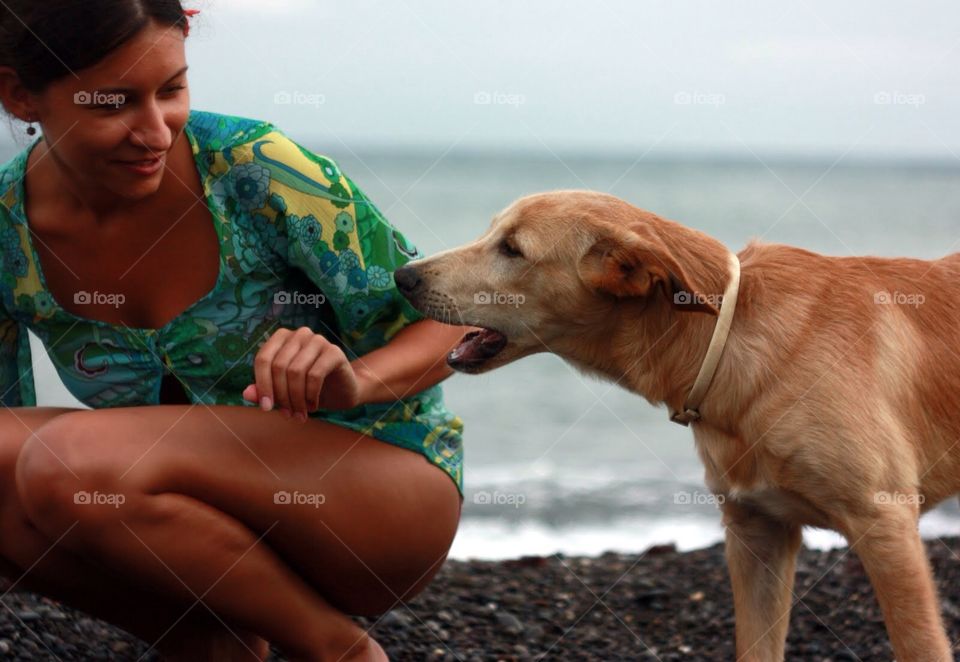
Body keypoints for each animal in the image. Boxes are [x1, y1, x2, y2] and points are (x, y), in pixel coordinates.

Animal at [394, 189, 960, 660]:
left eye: (512, 249)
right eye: (492, 233)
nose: (404, 276)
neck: (729, 336)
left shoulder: (884, 525)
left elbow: (921, 645)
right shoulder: (757, 531)